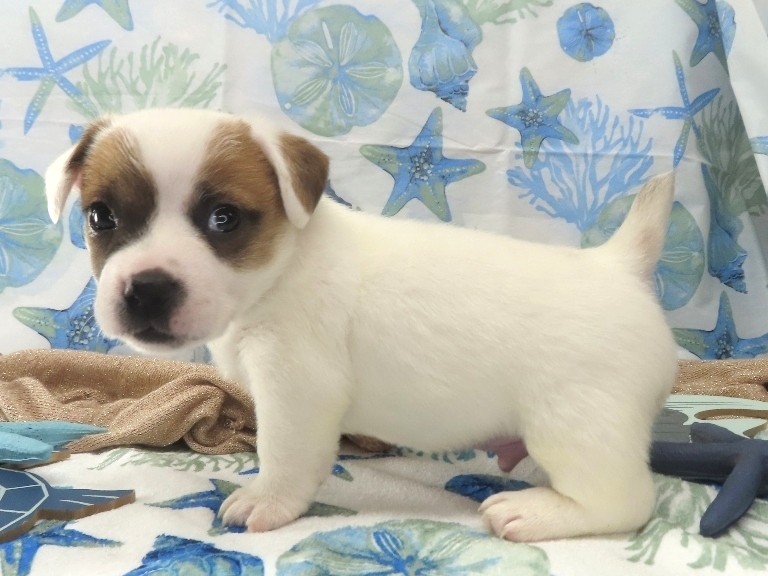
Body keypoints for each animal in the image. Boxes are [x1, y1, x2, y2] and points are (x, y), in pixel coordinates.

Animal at [45, 108, 678, 542]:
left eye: (223, 219)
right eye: (101, 218)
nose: (148, 287)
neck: (283, 269)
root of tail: (616, 265)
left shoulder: (296, 392)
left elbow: (283, 456)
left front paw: (267, 500)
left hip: (576, 425)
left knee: (625, 501)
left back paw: (538, 510)